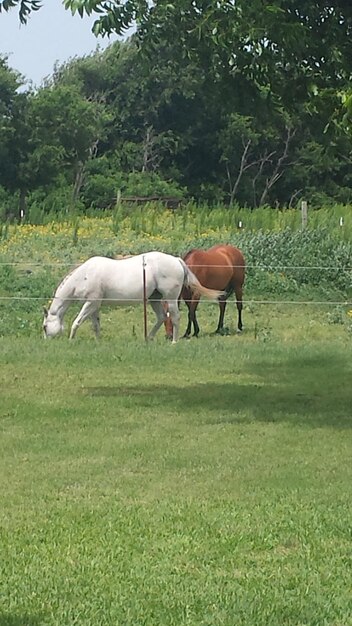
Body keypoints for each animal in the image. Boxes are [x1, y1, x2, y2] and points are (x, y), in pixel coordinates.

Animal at [42, 251, 223, 344]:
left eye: (44, 327)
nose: (46, 341)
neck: (85, 275)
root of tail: (178, 260)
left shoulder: (90, 303)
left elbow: (77, 321)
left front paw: (71, 339)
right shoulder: (94, 305)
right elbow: (95, 325)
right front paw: (98, 341)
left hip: (170, 299)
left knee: (174, 317)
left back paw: (174, 341)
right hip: (154, 299)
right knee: (162, 317)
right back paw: (148, 338)